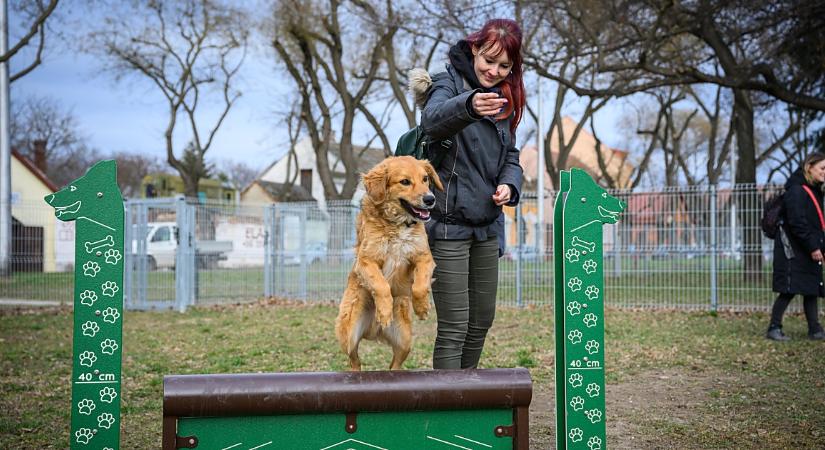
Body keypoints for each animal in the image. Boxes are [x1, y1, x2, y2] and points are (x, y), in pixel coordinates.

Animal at [334, 156, 440, 370]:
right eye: (405, 181)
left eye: (425, 179)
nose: (430, 199)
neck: (397, 224)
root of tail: (374, 331)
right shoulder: (366, 260)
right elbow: (381, 285)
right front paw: (383, 312)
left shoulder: (424, 257)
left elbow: (420, 285)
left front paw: (422, 307)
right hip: (348, 334)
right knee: (354, 360)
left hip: (405, 340)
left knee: (394, 366)